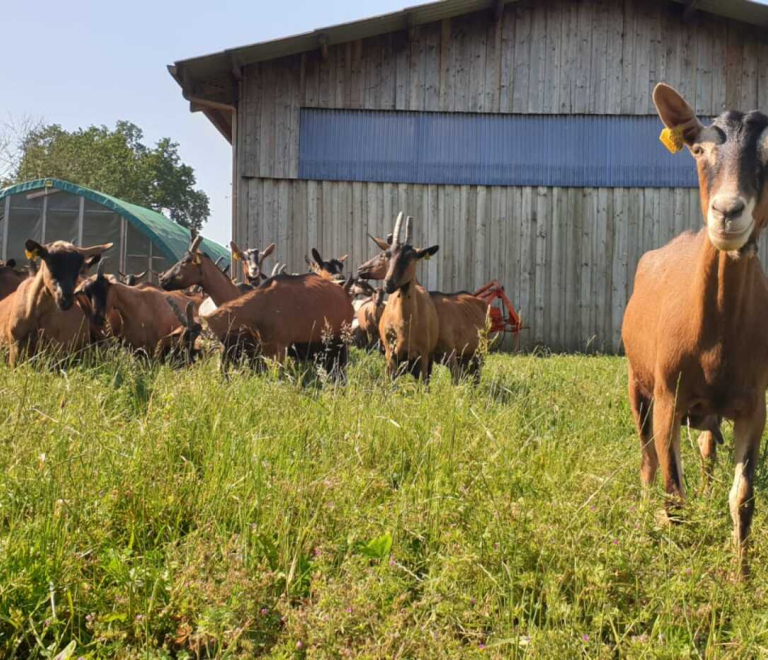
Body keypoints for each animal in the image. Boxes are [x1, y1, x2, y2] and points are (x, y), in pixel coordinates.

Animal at [624, 82, 768, 576]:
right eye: (700, 149)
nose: (727, 212)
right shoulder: (669, 394)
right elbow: (672, 490)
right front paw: (673, 563)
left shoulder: (755, 405)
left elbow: (743, 497)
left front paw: (740, 576)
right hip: (637, 384)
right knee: (648, 460)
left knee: (706, 454)